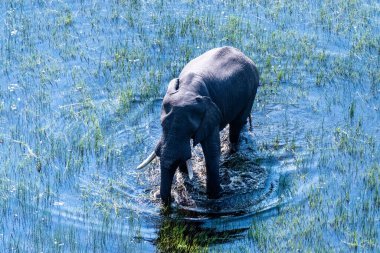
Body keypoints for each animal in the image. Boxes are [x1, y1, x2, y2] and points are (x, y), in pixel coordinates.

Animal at [138, 46, 260, 205]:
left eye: (190, 129)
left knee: (236, 125)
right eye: (162, 125)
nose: (169, 199)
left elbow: (212, 151)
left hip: (251, 90)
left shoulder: (211, 117)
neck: (188, 90)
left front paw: (214, 196)